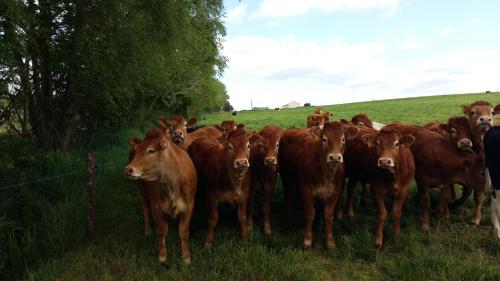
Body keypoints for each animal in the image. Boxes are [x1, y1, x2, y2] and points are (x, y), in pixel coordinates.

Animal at [124, 126, 196, 264]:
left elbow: (184, 232)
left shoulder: (189, 206)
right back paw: (148, 230)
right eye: (137, 151)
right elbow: (162, 231)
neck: (172, 185)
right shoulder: (156, 207)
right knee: (145, 209)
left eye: (151, 150)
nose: (128, 169)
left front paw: (186, 257)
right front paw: (162, 256)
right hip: (140, 191)